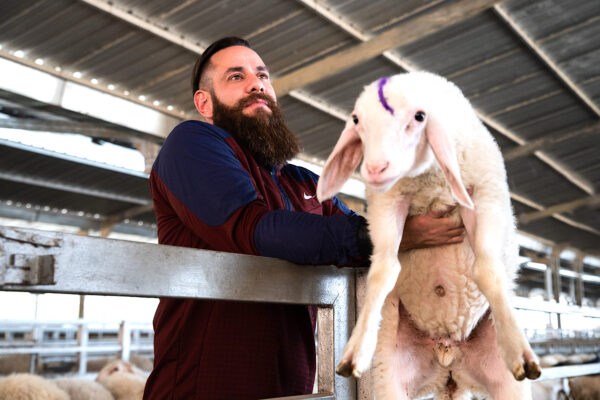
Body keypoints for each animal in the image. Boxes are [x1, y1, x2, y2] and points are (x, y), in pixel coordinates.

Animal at [318, 72, 544, 400]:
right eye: (357, 120)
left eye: (419, 117)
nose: (374, 169)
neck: (428, 183)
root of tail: (448, 358)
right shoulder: (387, 204)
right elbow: (384, 270)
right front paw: (356, 350)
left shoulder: (485, 195)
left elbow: (488, 270)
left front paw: (519, 351)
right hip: (391, 374)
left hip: (505, 383)